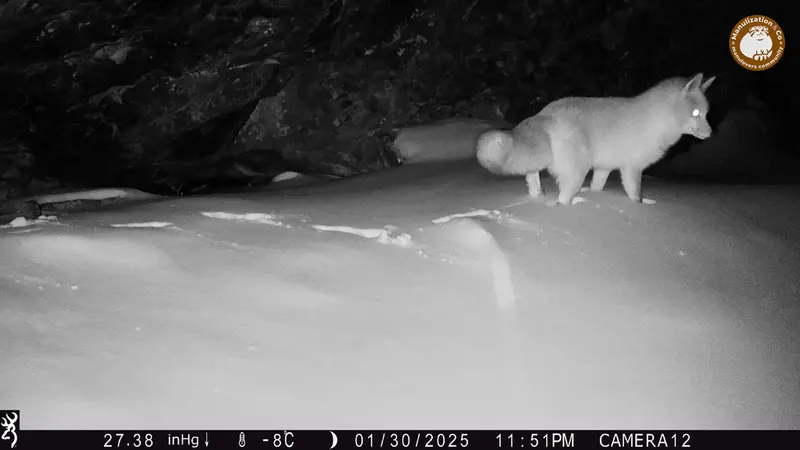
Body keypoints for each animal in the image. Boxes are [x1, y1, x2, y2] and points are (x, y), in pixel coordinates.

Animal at [476, 73, 716, 205]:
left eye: (706, 114)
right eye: (696, 114)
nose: (710, 133)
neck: (656, 121)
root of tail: (545, 112)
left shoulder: (604, 168)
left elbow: (597, 188)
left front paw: (596, 198)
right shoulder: (632, 169)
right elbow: (635, 196)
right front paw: (638, 209)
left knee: (532, 178)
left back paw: (538, 197)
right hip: (576, 174)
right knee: (562, 199)